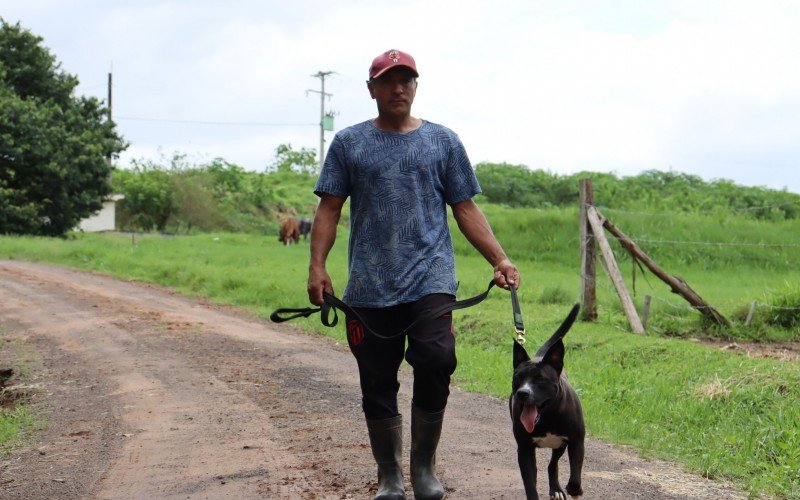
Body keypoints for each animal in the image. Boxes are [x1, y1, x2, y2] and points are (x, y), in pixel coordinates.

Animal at [510, 304, 584, 500]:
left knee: (553, 464)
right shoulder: (525, 449)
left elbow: (575, 479)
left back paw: (557, 489)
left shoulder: (576, 442)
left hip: (560, 445)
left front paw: (575, 490)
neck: (548, 417)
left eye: (541, 379)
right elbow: (530, 484)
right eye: (518, 377)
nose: (522, 393)